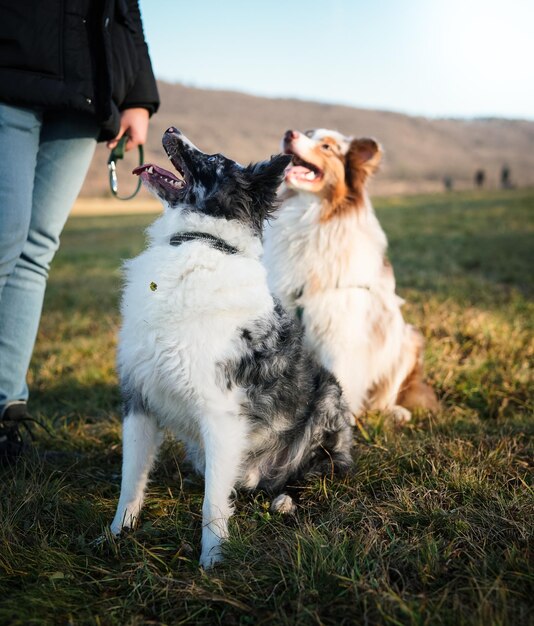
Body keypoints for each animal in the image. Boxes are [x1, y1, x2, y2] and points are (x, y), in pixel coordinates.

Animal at [110, 127, 354, 564]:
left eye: (215, 160)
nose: (169, 129)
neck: (199, 240)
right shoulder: (139, 399)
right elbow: (130, 482)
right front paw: (115, 536)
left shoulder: (221, 413)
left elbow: (212, 505)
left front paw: (212, 560)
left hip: (327, 397)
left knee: (316, 474)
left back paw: (285, 500)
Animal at [264, 127, 440, 422]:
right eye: (308, 133)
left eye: (326, 147)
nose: (290, 133)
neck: (310, 217)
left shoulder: (340, 335)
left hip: (407, 341)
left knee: (382, 398)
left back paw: (395, 412)